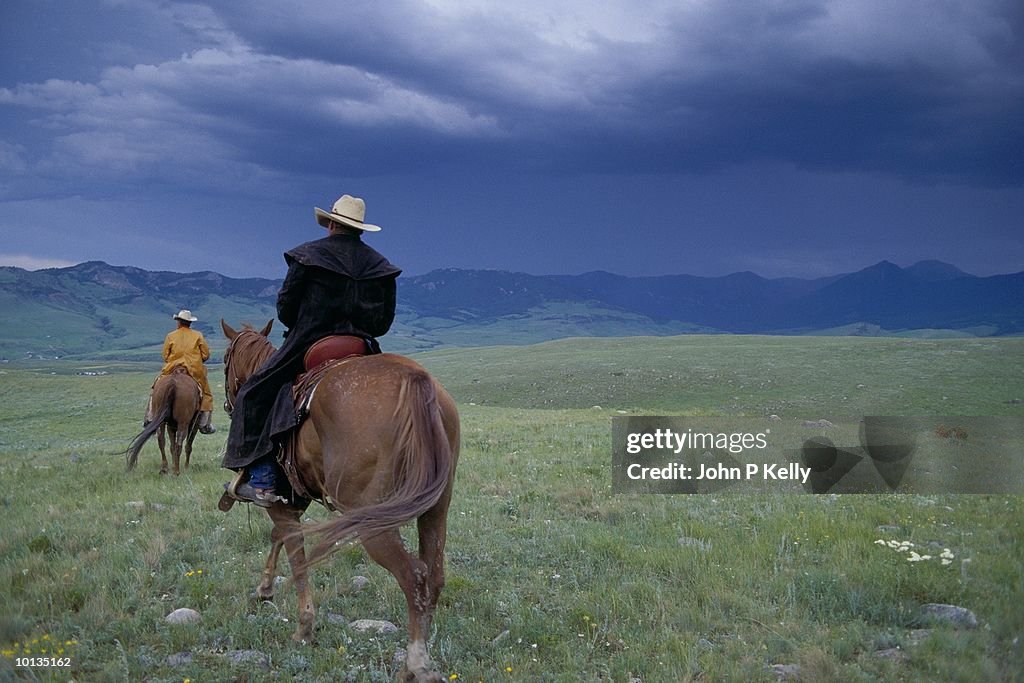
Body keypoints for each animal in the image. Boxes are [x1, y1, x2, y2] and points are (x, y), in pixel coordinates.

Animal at [224, 321, 464, 683]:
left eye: (224, 358)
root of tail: (415, 380)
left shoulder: (281, 504)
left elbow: (295, 554)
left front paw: (304, 628)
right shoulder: (293, 500)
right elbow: (278, 539)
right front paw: (265, 589)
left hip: (373, 521)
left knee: (414, 577)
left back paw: (416, 664)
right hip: (436, 510)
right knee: (434, 577)